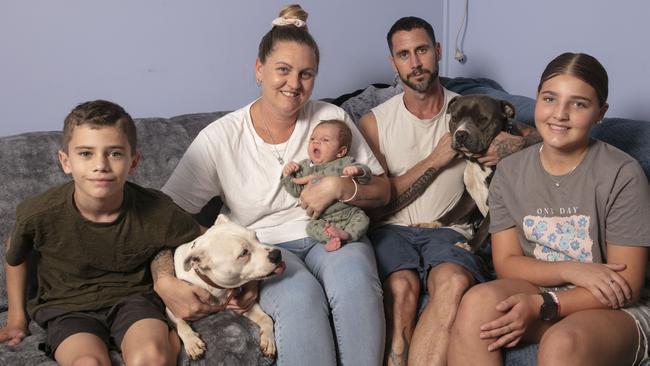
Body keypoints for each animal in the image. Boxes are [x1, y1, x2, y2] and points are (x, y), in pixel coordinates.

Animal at [168, 214, 284, 360]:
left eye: (256, 236)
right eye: (243, 253)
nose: (277, 254)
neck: (216, 288)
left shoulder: (245, 306)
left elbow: (266, 318)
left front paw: (268, 340)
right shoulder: (174, 306)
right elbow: (180, 323)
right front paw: (192, 342)